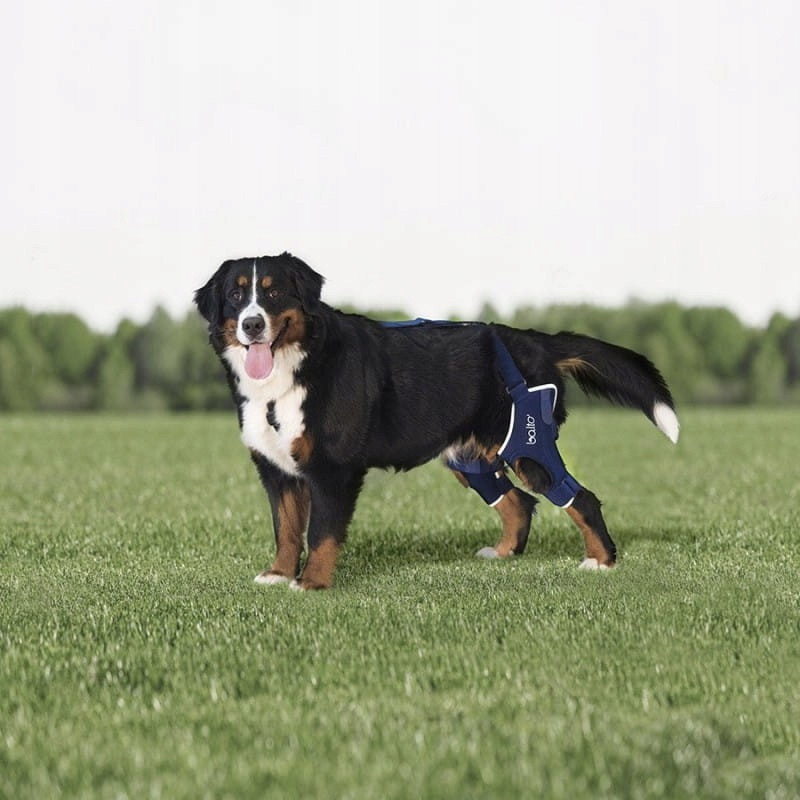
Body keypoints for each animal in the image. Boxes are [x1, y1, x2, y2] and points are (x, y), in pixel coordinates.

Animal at [194, 253, 676, 592]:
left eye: (273, 294)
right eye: (236, 296)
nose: (252, 324)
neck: (293, 370)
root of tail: (534, 340)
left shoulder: (332, 471)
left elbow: (320, 533)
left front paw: (311, 583)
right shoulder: (277, 472)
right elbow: (287, 531)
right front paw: (278, 574)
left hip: (527, 447)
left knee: (580, 498)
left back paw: (601, 562)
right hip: (473, 459)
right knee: (519, 504)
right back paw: (503, 554)